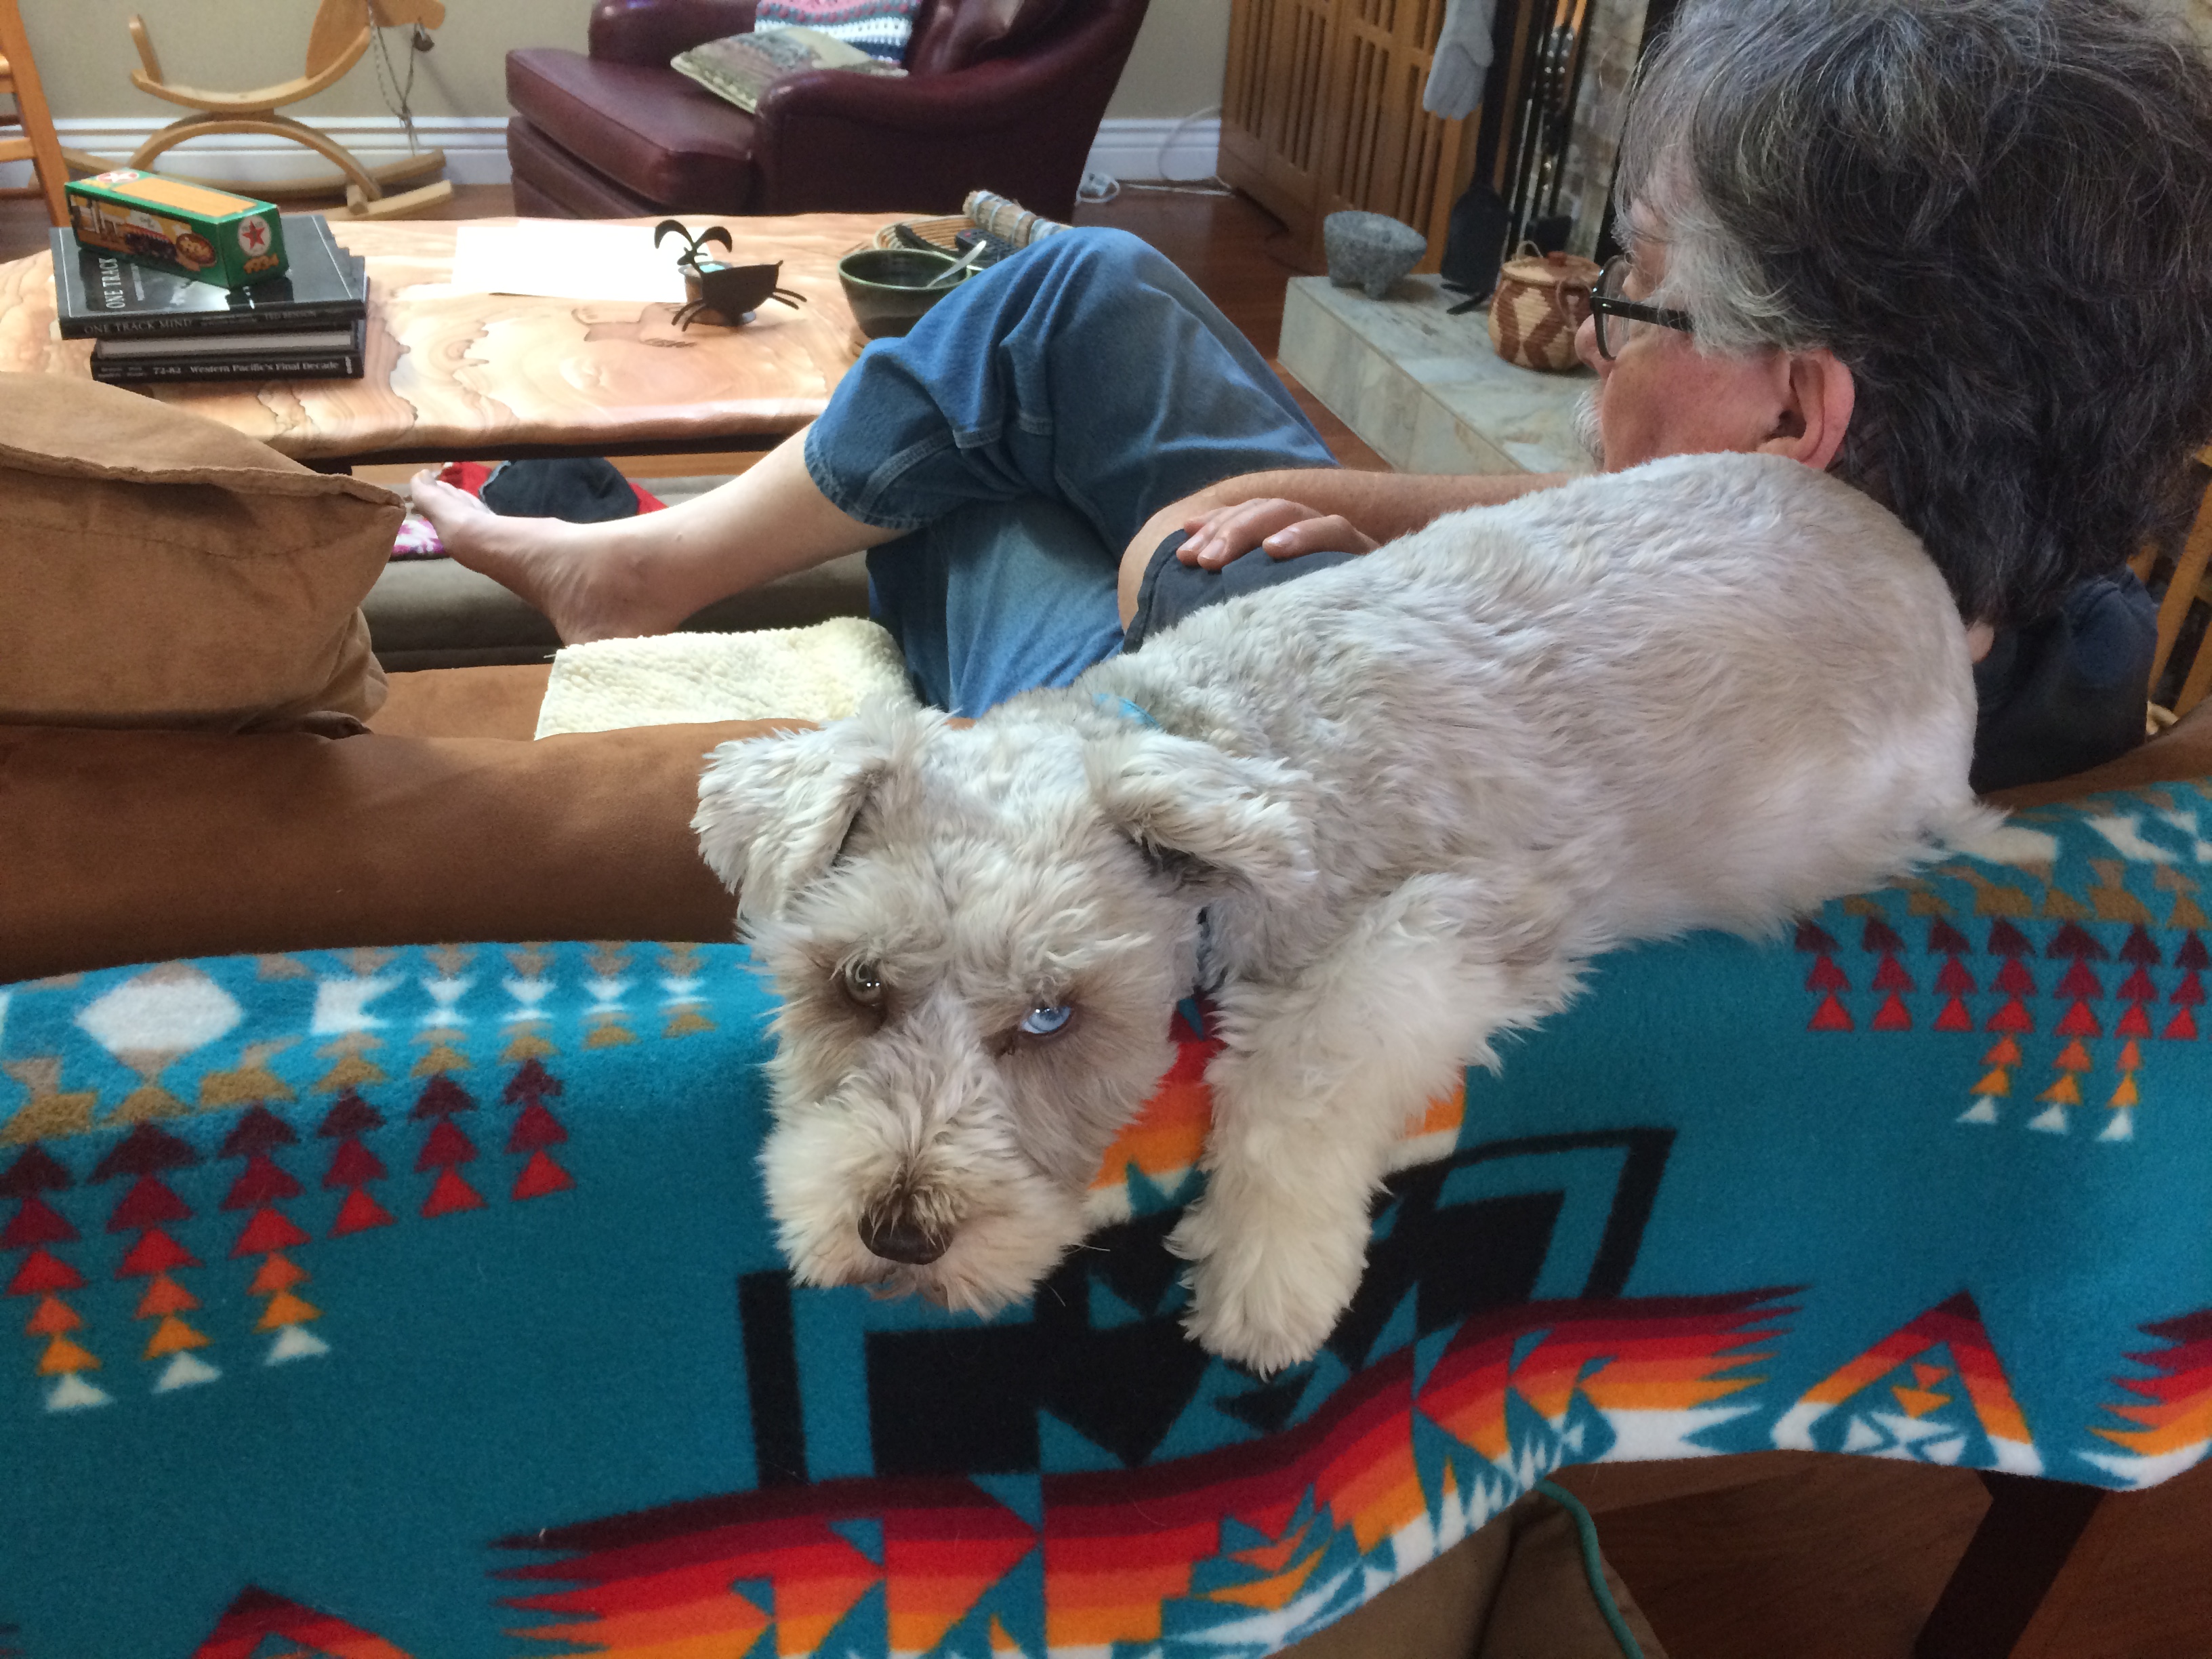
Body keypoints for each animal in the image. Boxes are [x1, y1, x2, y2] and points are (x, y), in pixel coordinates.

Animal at [695, 452, 1998, 1374]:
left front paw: (1265, 1275)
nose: (900, 1234)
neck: (1209, 736)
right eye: (859, 981)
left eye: (1054, 1014)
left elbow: (1308, 1058)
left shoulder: (1474, 907)